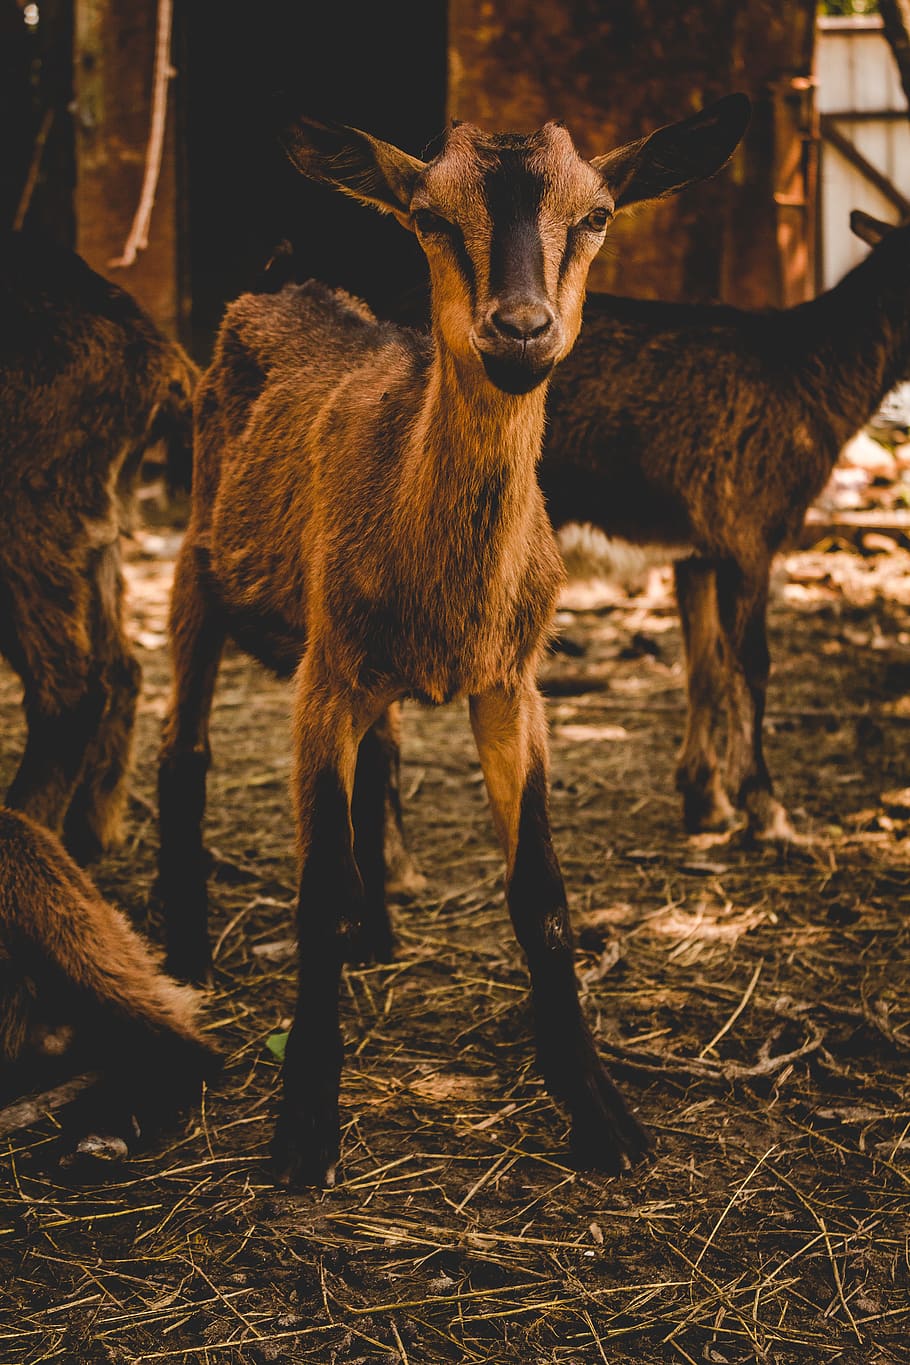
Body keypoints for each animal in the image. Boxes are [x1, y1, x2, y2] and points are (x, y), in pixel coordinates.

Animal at [156, 96, 751, 1187]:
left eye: (598, 214)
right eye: (427, 216)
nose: (519, 330)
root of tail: (283, 279)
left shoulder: (511, 681)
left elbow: (541, 895)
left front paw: (602, 1113)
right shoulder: (323, 673)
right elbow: (311, 892)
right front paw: (304, 1129)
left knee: (382, 756)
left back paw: (378, 933)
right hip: (198, 561)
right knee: (185, 748)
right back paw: (184, 957)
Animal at [534, 208, 909, 843]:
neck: (811, 380)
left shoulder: (698, 548)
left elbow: (705, 668)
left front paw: (706, 799)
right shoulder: (747, 532)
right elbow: (751, 665)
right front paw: (766, 807)